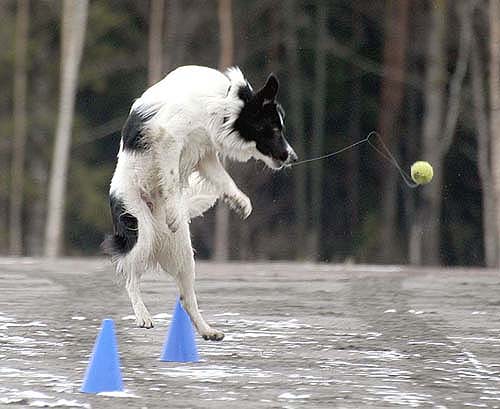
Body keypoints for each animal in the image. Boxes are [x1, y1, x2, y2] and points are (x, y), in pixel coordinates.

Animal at [102, 66, 296, 342]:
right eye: (273, 129)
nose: (293, 157)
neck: (223, 102)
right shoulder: (169, 138)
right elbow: (172, 178)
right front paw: (173, 211)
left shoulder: (205, 154)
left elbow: (224, 179)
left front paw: (240, 202)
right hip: (141, 228)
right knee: (130, 278)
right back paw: (142, 315)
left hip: (184, 254)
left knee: (186, 298)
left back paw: (207, 330)